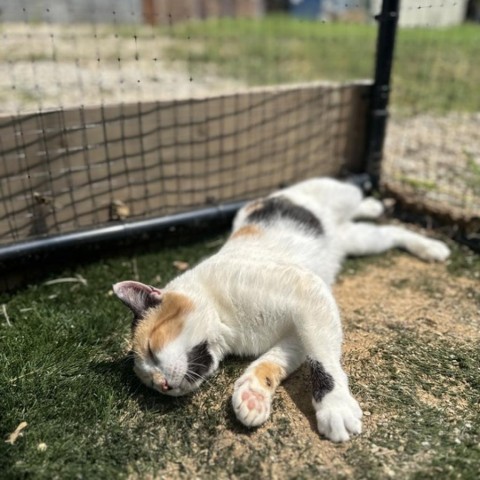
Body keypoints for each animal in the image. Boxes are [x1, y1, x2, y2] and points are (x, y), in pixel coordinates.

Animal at [112, 177, 450, 442]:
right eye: (149, 383)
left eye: (152, 348)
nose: (163, 385)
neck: (228, 326)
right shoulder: (297, 333)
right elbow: (273, 360)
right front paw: (252, 395)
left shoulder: (308, 293)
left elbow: (322, 361)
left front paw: (335, 405)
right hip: (359, 241)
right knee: (388, 233)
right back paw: (424, 244)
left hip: (339, 197)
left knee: (364, 203)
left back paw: (386, 212)